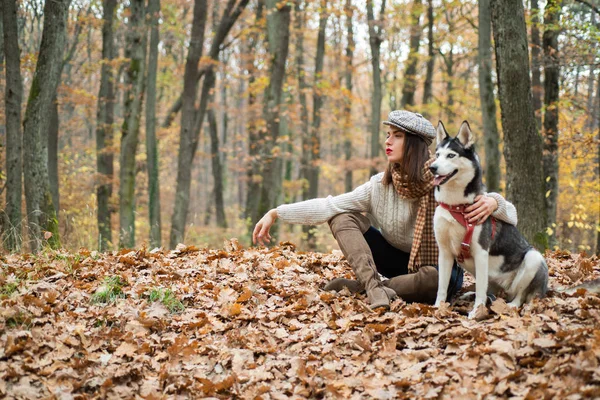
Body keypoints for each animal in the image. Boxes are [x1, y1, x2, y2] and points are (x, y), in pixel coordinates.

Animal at [432, 121, 548, 318]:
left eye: (451, 155)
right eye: (437, 155)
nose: (432, 167)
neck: (456, 205)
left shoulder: (480, 251)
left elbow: (480, 288)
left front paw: (476, 312)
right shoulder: (445, 252)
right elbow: (441, 287)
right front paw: (437, 308)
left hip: (533, 259)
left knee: (520, 295)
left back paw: (511, 305)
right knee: (489, 291)